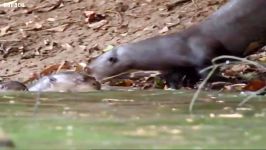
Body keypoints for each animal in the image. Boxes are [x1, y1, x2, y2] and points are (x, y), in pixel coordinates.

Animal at [87, 0, 266, 87]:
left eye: (91, 69)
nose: (92, 77)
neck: (178, 47)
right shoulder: (176, 68)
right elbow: (176, 78)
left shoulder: (204, 55)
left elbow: (209, 72)